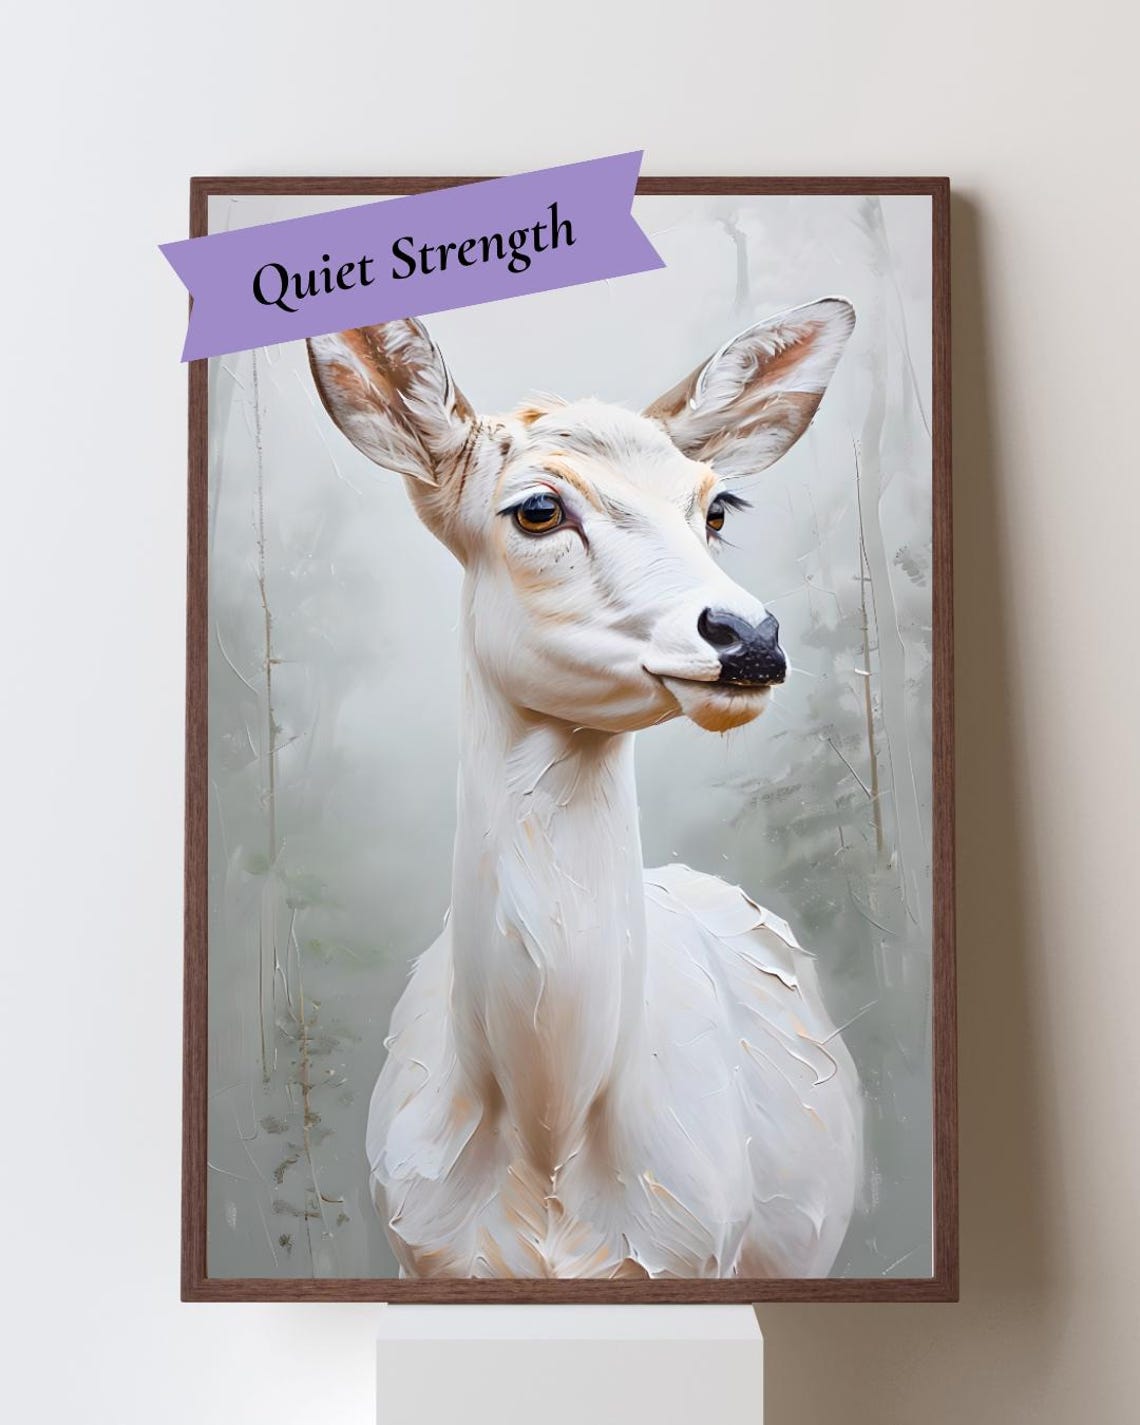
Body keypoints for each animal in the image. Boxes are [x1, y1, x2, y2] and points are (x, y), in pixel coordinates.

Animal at [307, 299, 862, 1280]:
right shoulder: (418, 1252)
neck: (548, 1138)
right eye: (538, 507)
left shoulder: (705, 1257)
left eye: (716, 505)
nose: (749, 634)